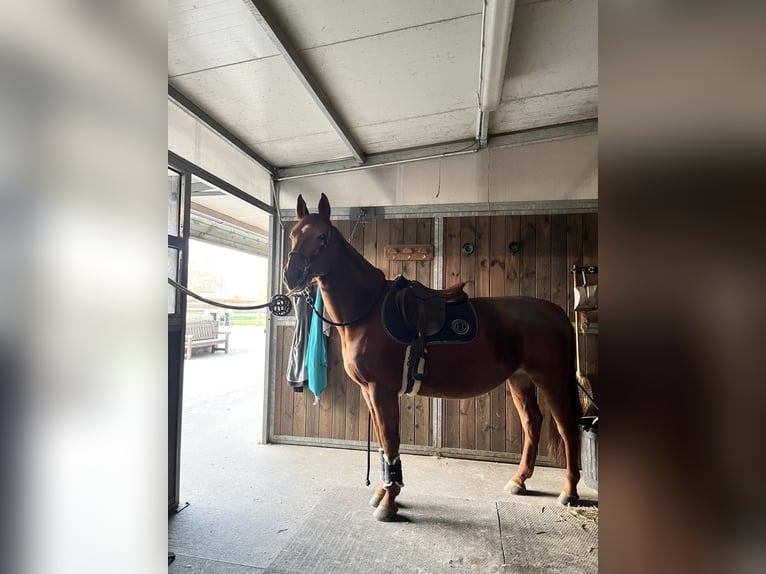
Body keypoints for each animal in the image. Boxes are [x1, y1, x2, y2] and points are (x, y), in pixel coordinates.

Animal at [283, 193, 583, 521]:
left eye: (322, 237)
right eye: (293, 234)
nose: (291, 276)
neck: (368, 310)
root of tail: (557, 313)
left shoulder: (381, 390)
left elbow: (390, 440)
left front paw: (389, 502)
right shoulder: (368, 392)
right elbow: (383, 442)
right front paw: (383, 493)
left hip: (550, 379)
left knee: (568, 427)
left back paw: (570, 491)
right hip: (520, 380)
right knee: (532, 423)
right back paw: (519, 480)